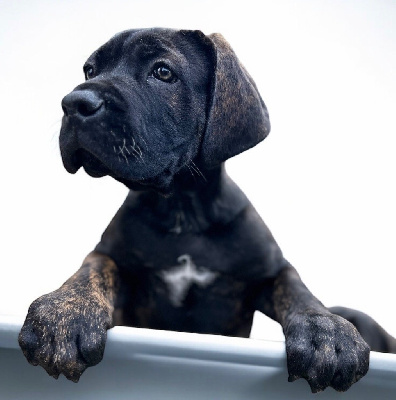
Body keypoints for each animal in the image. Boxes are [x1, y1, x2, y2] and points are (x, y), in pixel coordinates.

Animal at [17, 28, 394, 394]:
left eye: (163, 72)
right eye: (89, 71)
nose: (75, 102)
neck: (182, 211)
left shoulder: (270, 271)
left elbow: (298, 291)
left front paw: (328, 333)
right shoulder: (112, 256)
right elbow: (92, 269)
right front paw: (63, 313)